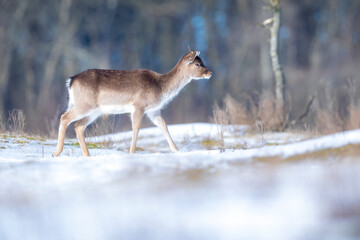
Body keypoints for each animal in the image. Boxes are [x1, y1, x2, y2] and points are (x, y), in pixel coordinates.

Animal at [52, 48, 212, 158]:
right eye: (197, 64)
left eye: (202, 61)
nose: (210, 73)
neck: (160, 88)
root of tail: (71, 80)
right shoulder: (138, 106)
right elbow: (136, 128)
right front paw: (132, 152)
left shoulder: (153, 110)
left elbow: (164, 126)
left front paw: (176, 150)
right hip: (84, 105)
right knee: (64, 117)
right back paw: (56, 152)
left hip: (94, 111)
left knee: (78, 126)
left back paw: (87, 155)